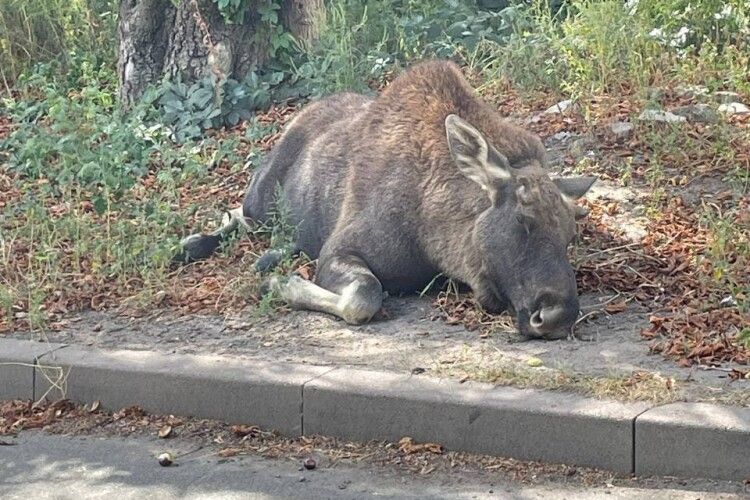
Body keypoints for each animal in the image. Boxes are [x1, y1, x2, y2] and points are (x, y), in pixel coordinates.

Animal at [179, 58, 596, 340]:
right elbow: (363, 296)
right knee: (238, 215)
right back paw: (190, 245)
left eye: (569, 235)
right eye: (522, 220)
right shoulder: (339, 250)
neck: (433, 233)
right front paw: (282, 284)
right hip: (261, 200)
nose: (557, 316)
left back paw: (269, 255)